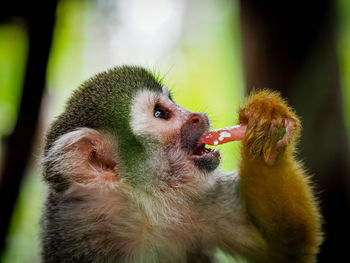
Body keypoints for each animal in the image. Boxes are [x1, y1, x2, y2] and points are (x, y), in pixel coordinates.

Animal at [41, 65, 322, 262]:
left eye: (172, 101)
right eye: (160, 113)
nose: (197, 116)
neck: (144, 206)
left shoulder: (202, 198)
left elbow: (287, 247)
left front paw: (268, 127)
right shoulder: (71, 225)